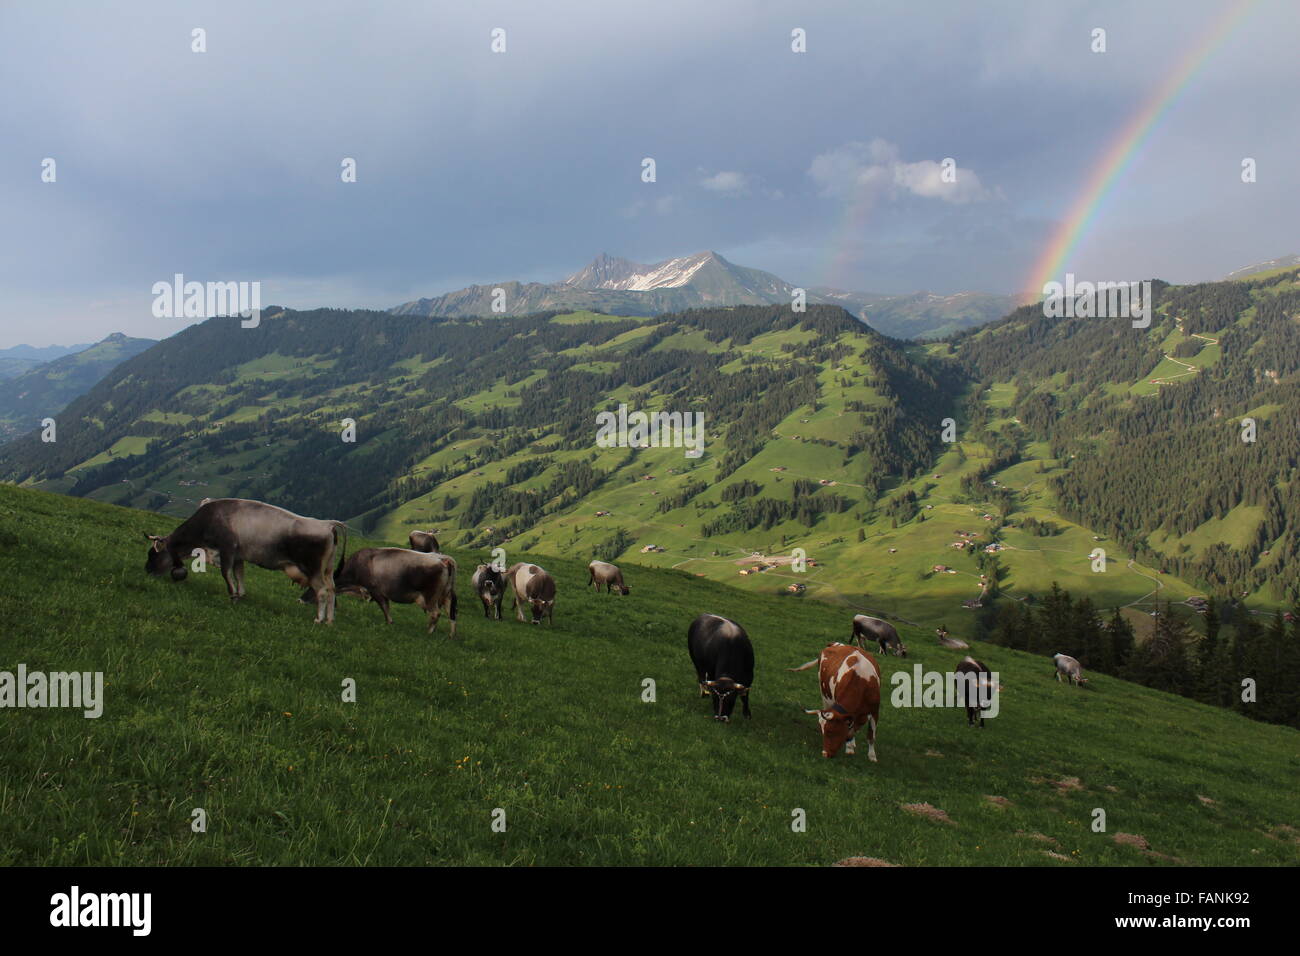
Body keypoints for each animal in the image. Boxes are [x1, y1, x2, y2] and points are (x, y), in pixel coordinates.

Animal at [145, 496, 348, 624]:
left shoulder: (227, 548)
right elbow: (239, 575)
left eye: (152, 554)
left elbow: (226, 574)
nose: (147, 571)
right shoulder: (238, 555)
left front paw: (232, 596)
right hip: (327, 570)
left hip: (313, 569)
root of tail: (327, 524)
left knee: (322, 592)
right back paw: (330, 620)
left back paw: (319, 619)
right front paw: (240, 594)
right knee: (332, 590)